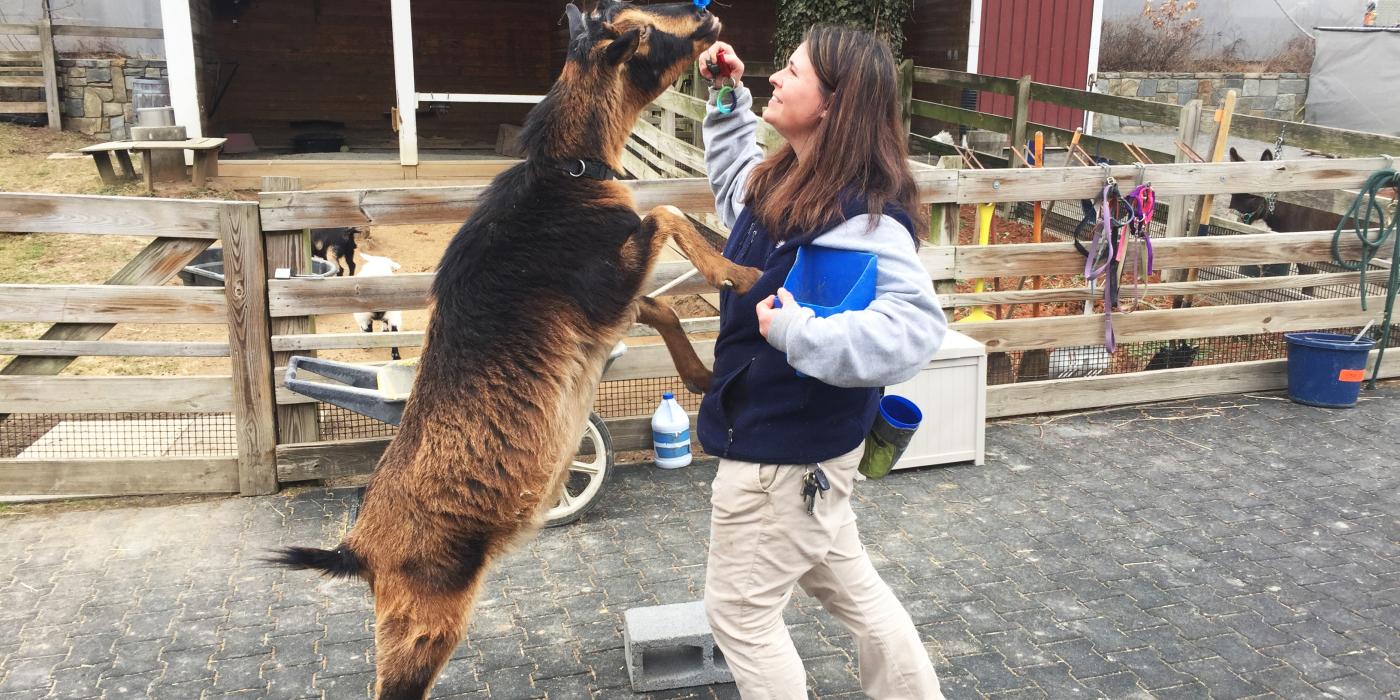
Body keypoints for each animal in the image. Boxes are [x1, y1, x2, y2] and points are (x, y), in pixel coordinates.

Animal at [273, 2, 756, 697]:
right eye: (640, 33)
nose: (707, 18)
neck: (569, 171)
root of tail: (357, 550)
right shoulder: (603, 284)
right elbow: (667, 214)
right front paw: (737, 275)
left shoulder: (606, 307)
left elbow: (660, 303)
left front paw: (697, 375)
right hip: (427, 618)